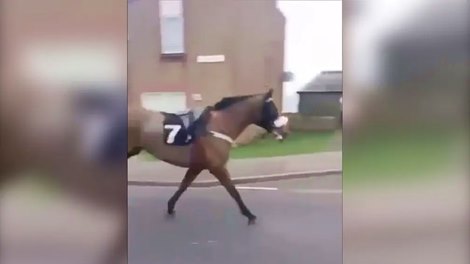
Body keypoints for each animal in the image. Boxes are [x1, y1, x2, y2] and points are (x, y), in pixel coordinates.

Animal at [129, 88, 290, 223]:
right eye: (272, 108)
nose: (284, 132)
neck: (219, 125)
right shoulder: (217, 167)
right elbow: (233, 191)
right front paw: (249, 214)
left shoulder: (197, 166)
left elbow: (183, 186)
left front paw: (170, 207)